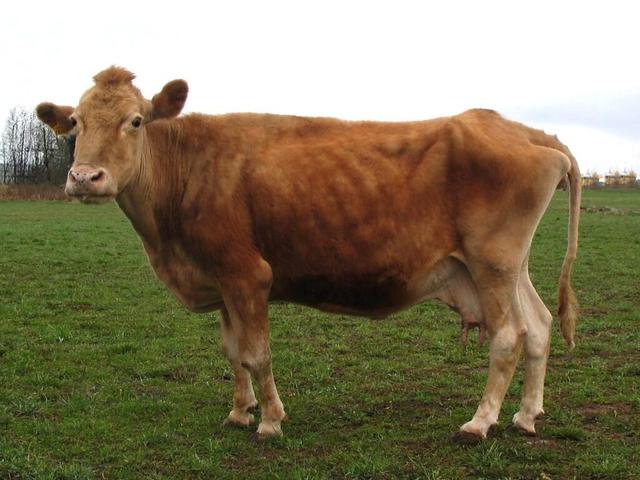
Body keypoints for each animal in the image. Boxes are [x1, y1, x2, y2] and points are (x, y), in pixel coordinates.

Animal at [36, 66, 580, 442]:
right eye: (75, 123)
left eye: (135, 120)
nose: (84, 177)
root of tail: (528, 132)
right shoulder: (221, 280)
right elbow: (232, 353)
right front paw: (239, 412)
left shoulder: (247, 274)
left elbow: (256, 353)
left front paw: (270, 421)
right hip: (508, 267)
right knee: (539, 326)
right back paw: (526, 416)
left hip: (492, 263)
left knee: (508, 337)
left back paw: (480, 422)